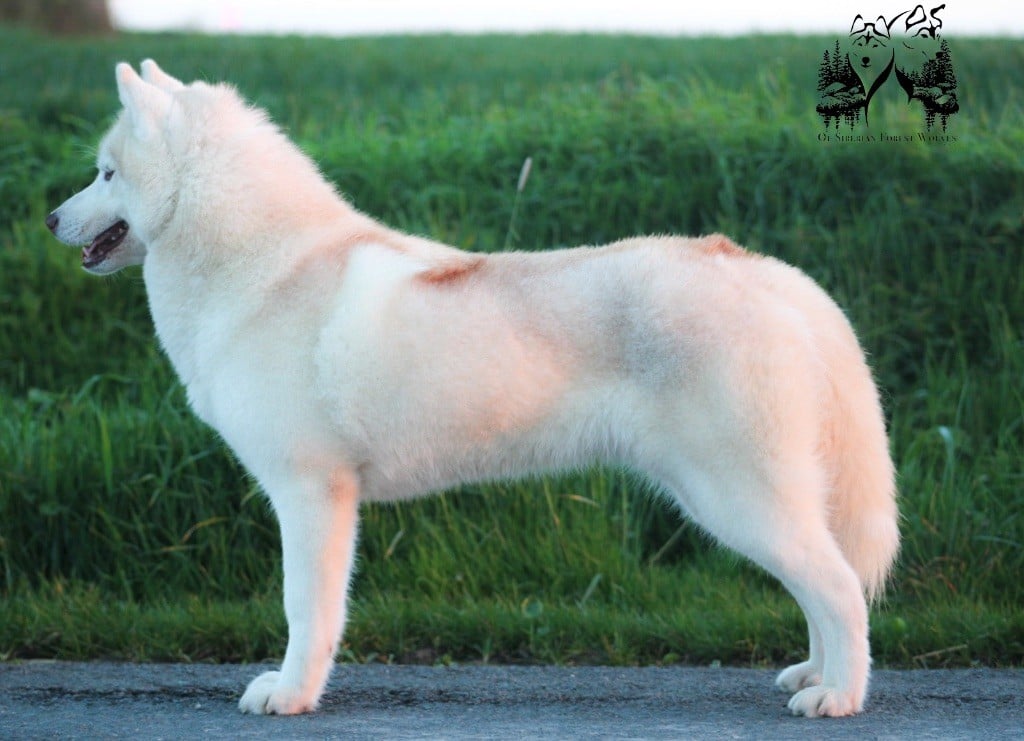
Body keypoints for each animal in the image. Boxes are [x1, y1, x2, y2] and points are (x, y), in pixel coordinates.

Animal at [48, 62, 897, 716]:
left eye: (106, 173)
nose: (51, 217)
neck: (263, 265)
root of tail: (769, 272)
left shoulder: (310, 491)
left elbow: (305, 609)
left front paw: (290, 695)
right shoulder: (326, 496)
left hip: (736, 496)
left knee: (839, 589)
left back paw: (839, 696)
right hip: (755, 499)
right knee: (824, 587)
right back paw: (816, 672)